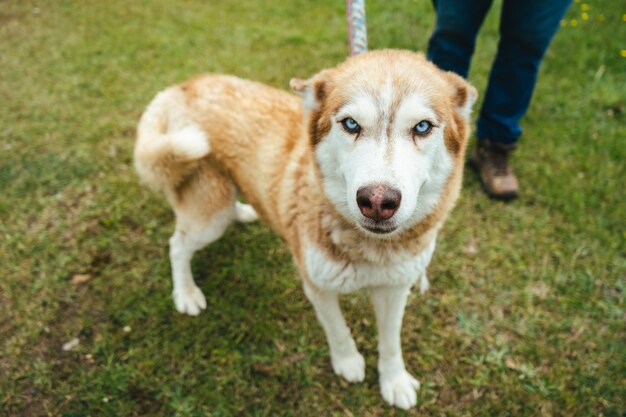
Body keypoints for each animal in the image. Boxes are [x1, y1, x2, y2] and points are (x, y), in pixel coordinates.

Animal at [132, 49, 472, 410]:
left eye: (422, 127)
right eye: (351, 124)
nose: (377, 201)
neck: (369, 248)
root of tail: (181, 87)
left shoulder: (395, 288)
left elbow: (391, 341)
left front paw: (394, 380)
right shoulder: (317, 286)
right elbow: (338, 330)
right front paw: (348, 362)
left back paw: (244, 212)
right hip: (209, 214)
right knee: (177, 244)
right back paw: (186, 293)